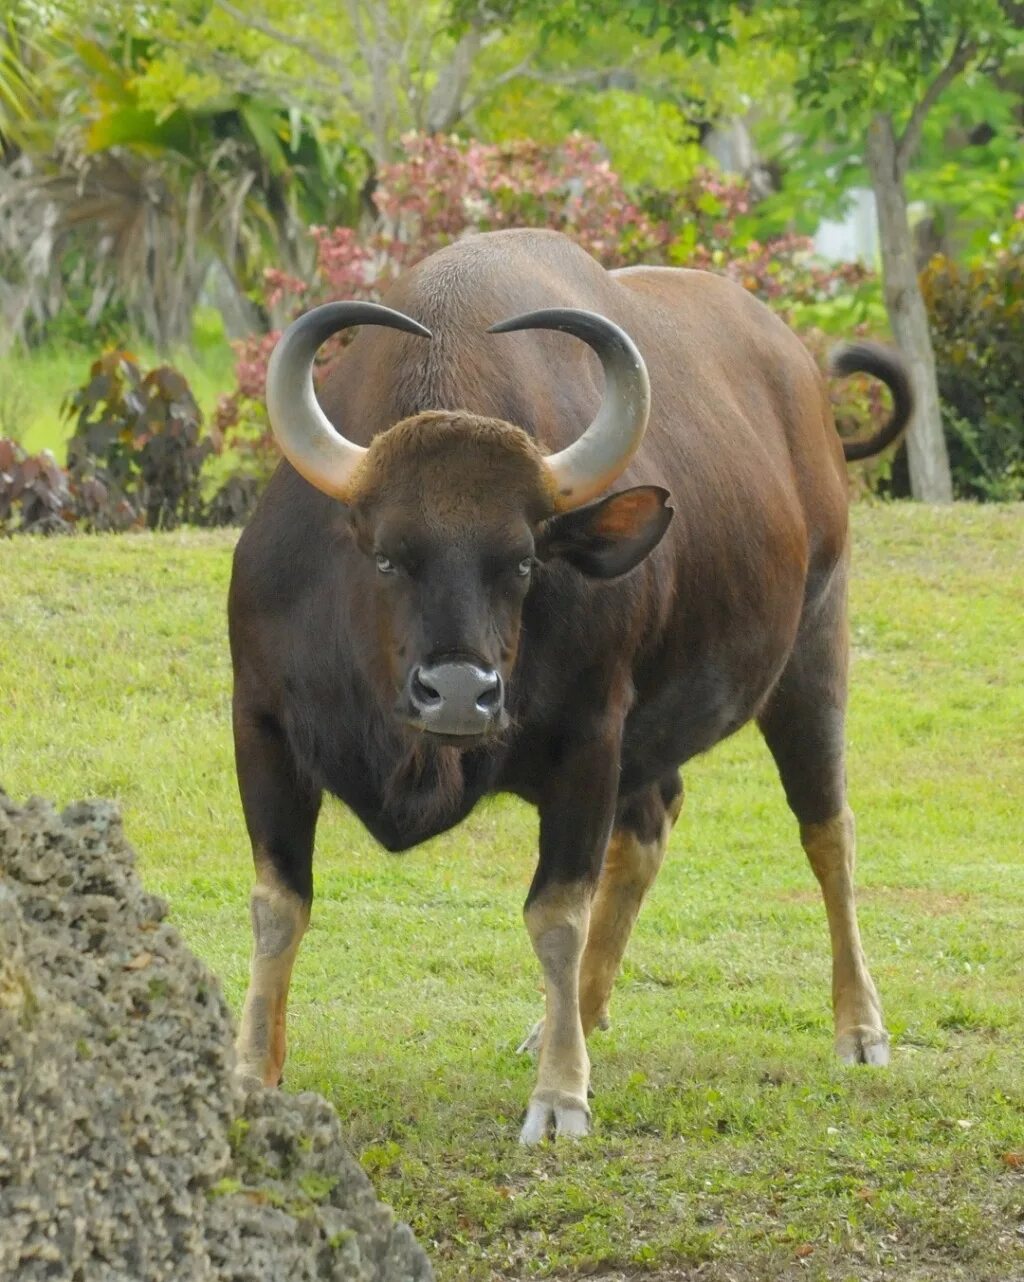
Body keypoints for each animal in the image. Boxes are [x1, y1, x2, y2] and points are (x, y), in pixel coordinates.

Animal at [228, 228, 907, 1143]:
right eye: (386, 556)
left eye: (521, 559)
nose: (459, 693)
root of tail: (803, 376)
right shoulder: (260, 724)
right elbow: (278, 906)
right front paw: (250, 1077)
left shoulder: (590, 739)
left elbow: (555, 914)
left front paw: (559, 1096)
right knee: (653, 826)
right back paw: (577, 1015)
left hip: (814, 649)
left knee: (827, 830)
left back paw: (859, 1026)